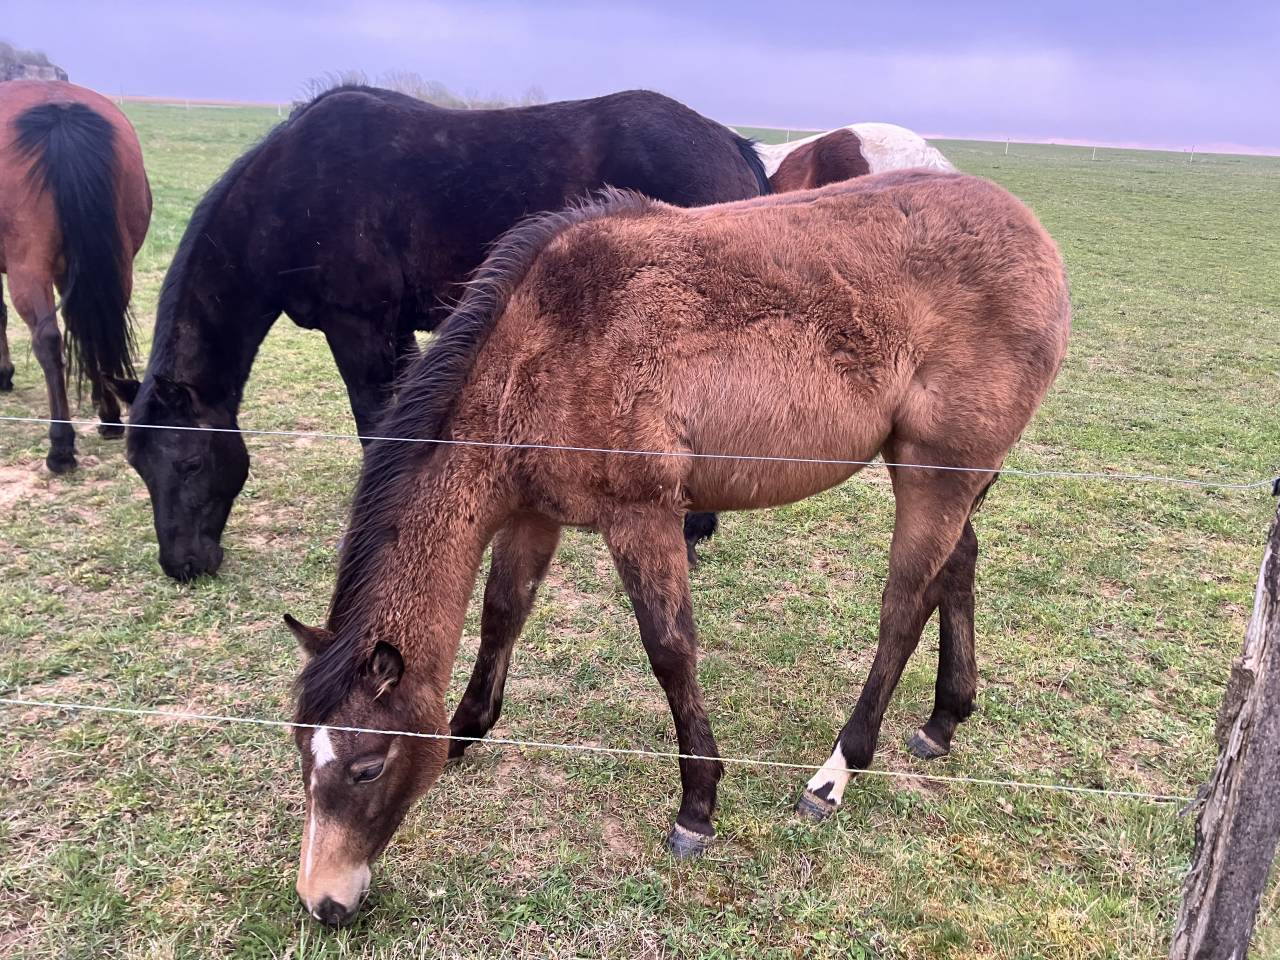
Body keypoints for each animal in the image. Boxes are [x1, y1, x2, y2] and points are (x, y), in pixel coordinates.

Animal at [0, 80, 151, 472]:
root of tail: (59, 112)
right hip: (113, 261)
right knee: (97, 325)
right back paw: (110, 416)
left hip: (29, 266)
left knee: (48, 340)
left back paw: (61, 446)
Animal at [107, 85, 769, 582]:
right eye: (138, 467)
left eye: (190, 464)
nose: (182, 565)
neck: (292, 195)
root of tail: (733, 142)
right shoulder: (392, 330)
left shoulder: (360, 328)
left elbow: (373, 422)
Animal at [283, 169, 1071, 925]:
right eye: (300, 750)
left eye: (367, 766)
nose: (324, 903)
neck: (538, 348)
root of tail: (1038, 243)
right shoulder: (534, 516)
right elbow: (503, 613)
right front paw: (465, 733)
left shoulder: (644, 517)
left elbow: (668, 650)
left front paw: (698, 805)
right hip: (938, 474)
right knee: (958, 567)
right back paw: (943, 720)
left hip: (937, 473)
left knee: (903, 608)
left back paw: (836, 773)